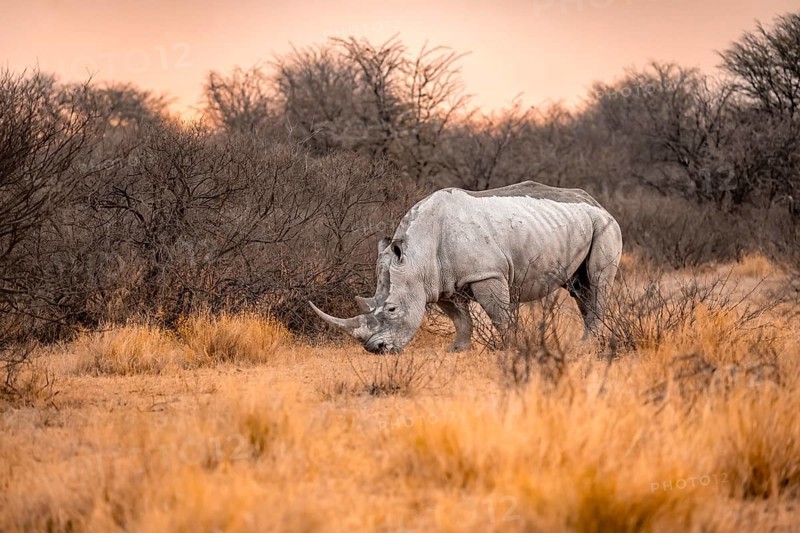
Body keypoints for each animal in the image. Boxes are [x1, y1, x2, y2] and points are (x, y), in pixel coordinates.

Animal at [310, 181, 622, 353]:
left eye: (392, 309)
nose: (376, 350)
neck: (416, 254)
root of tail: (598, 203)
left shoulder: (486, 273)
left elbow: (499, 314)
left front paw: (511, 346)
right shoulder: (438, 281)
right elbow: (459, 318)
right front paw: (457, 349)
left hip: (605, 225)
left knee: (597, 281)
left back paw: (587, 344)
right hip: (580, 224)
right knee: (580, 288)